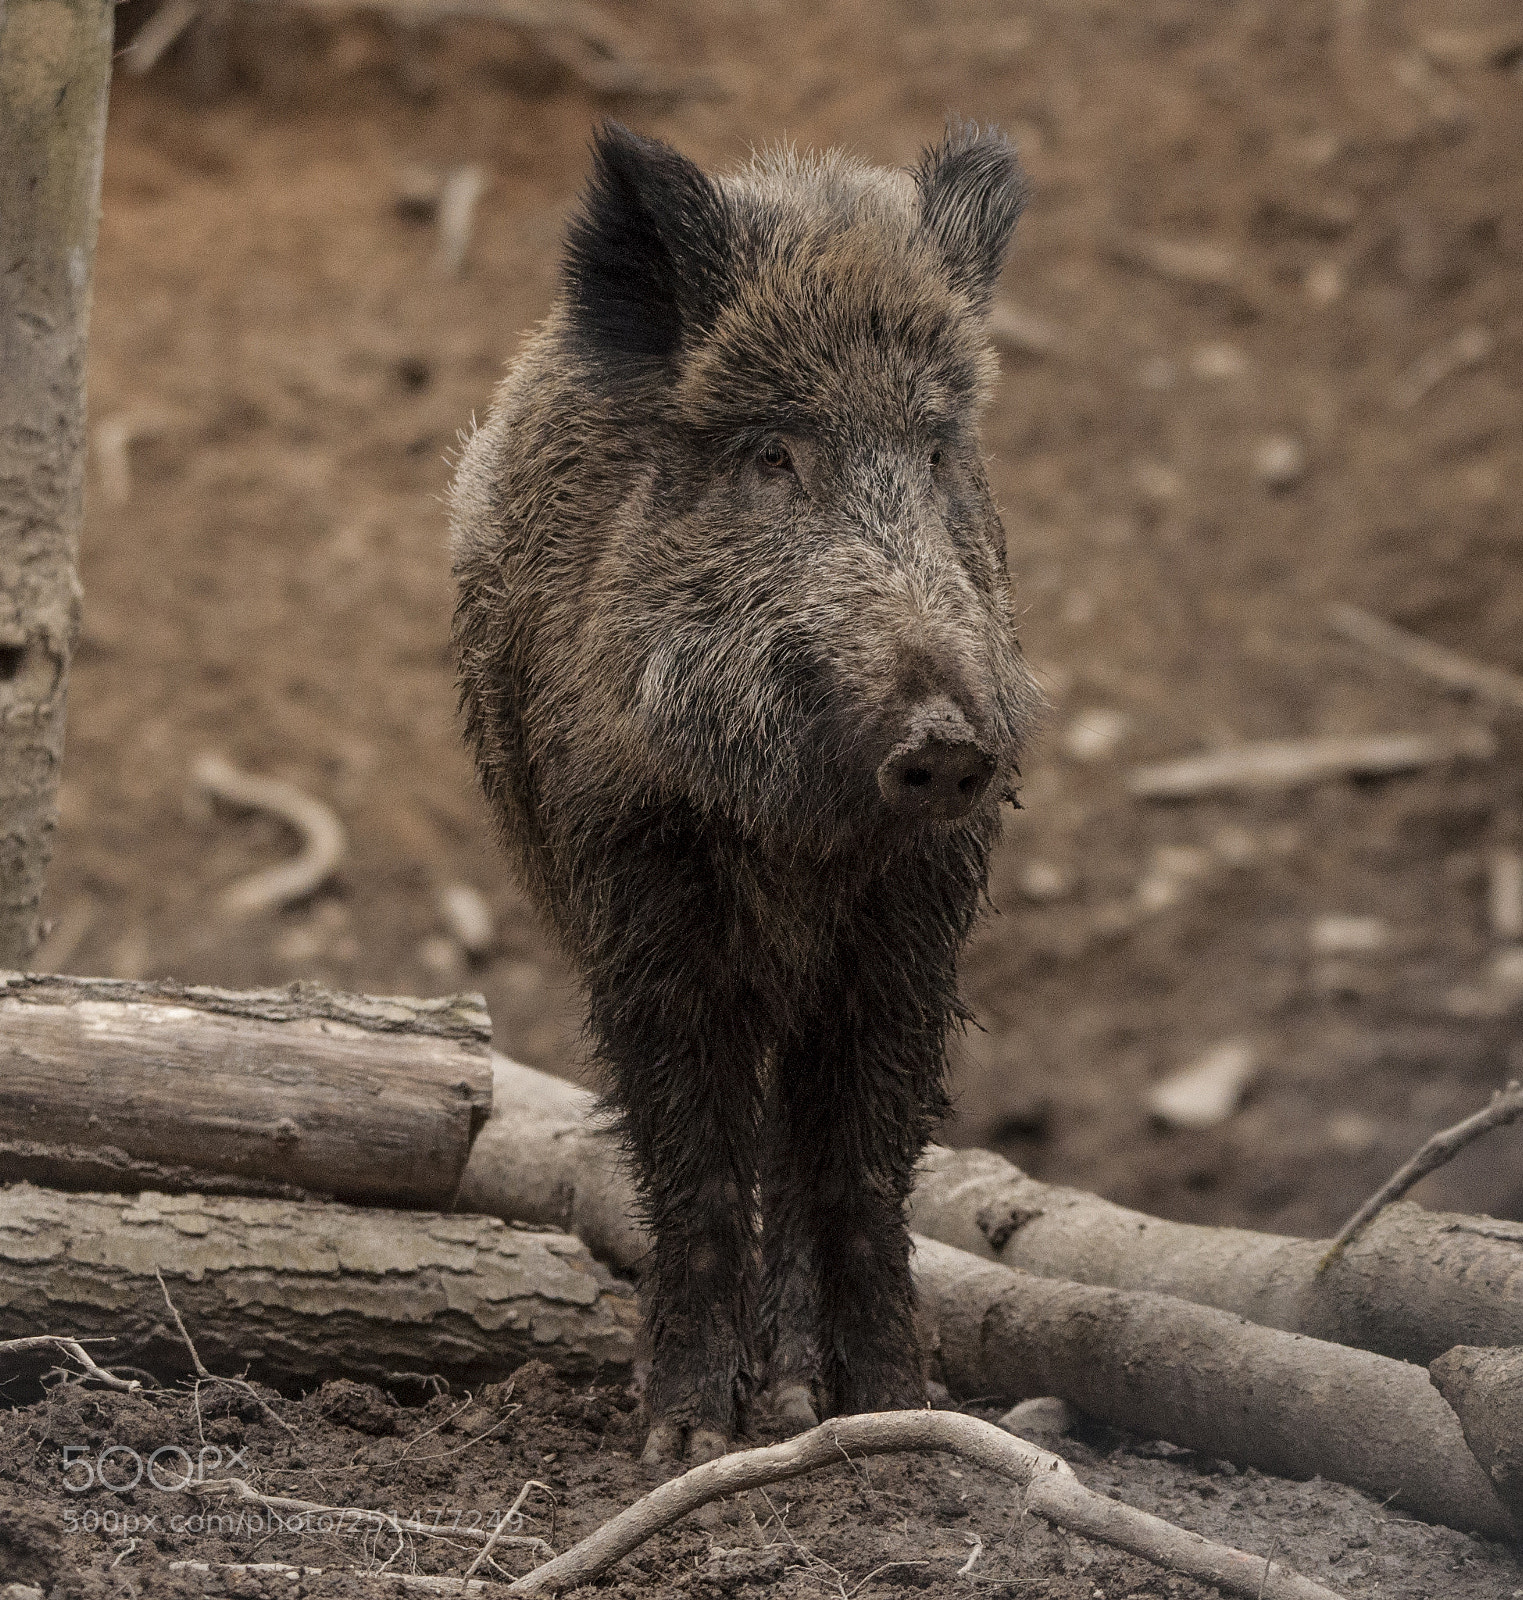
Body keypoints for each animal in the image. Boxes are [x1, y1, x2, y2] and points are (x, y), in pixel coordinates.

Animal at [450, 122, 1043, 1462]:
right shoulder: (637, 888)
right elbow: (692, 1153)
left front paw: (895, 1410)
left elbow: (861, 1161)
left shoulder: (916, 918)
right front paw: (681, 1441)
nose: (943, 738)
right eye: (773, 454)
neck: (798, 837)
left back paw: (798, 1402)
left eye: (937, 451)